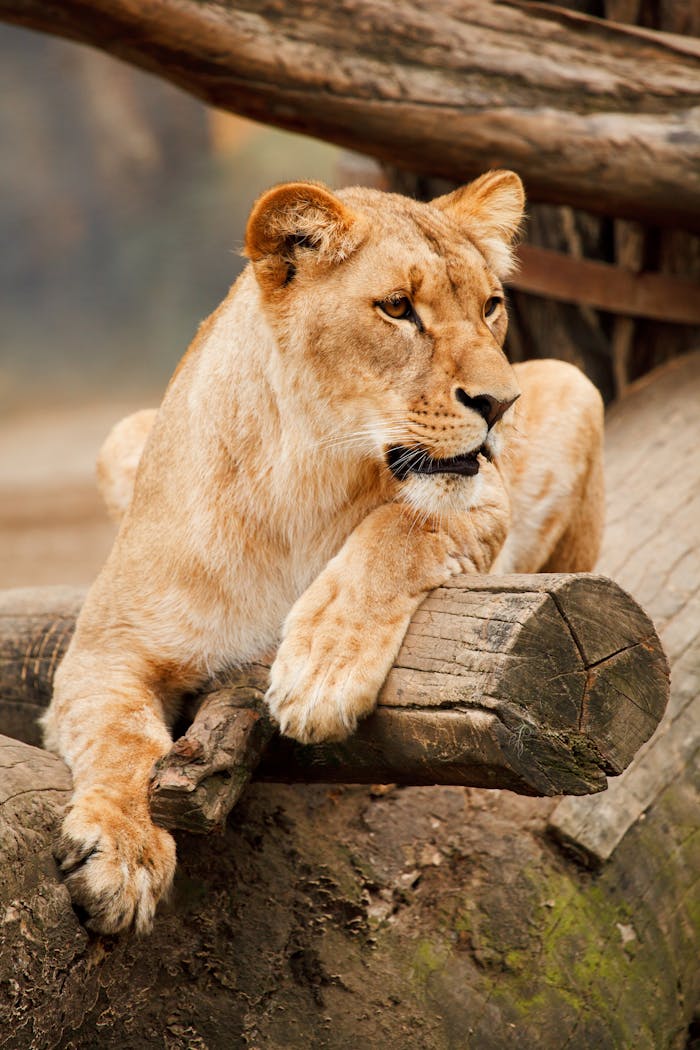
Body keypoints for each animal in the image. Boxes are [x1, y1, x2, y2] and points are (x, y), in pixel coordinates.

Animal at [42, 171, 604, 934]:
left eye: (491, 307)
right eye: (397, 308)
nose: (501, 404)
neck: (304, 480)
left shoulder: (484, 498)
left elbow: (400, 528)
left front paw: (320, 674)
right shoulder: (106, 648)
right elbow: (120, 736)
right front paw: (123, 854)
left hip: (577, 386)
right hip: (121, 435)